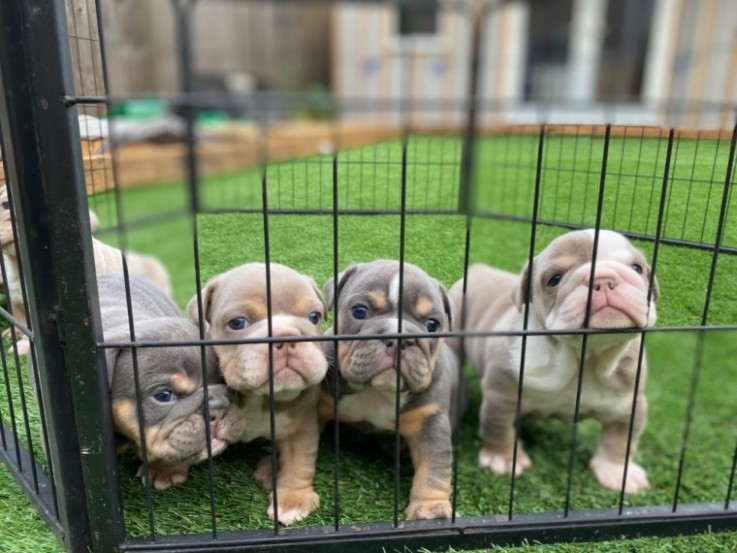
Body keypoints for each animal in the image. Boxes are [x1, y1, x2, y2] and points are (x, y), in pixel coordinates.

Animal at [187, 264, 328, 528]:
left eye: (314, 317)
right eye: (238, 323)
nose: (286, 338)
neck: (260, 397)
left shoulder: (302, 426)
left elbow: (299, 462)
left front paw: (292, 500)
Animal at [320, 260, 462, 520]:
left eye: (432, 325)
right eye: (360, 311)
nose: (399, 339)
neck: (377, 391)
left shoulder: (430, 421)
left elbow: (434, 467)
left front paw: (430, 509)